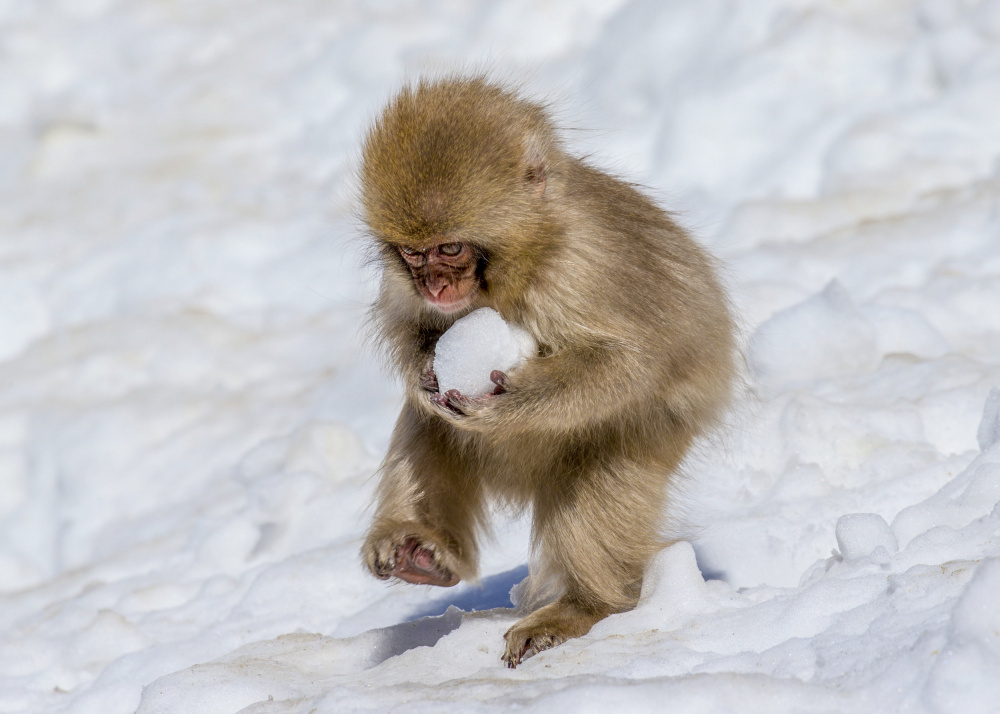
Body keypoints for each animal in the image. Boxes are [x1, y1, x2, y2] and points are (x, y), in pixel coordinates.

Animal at [360, 75, 736, 664]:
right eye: (414, 255)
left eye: (451, 248)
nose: (436, 287)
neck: (523, 256)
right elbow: (409, 331)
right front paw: (424, 368)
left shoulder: (578, 266)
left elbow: (629, 363)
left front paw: (505, 405)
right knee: (428, 427)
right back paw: (416, 548)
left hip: (655, 431)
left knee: (600, 475)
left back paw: (584, 607)